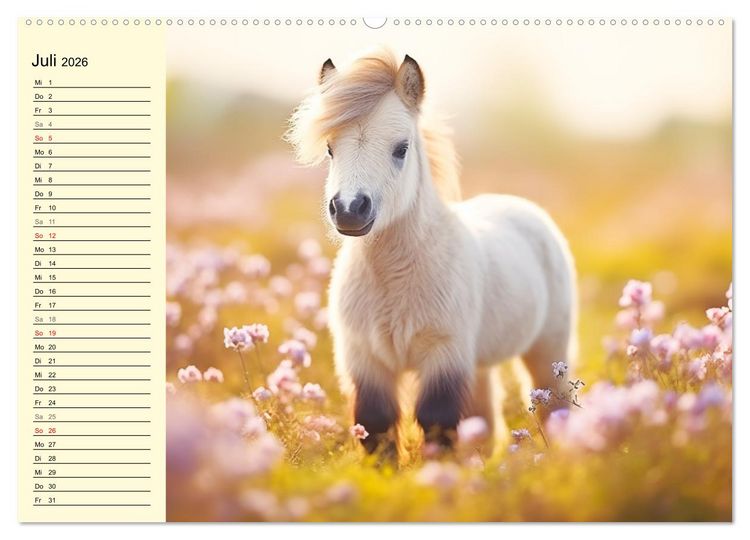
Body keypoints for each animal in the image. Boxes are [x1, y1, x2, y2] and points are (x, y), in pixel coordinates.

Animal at [286, 48, 577, 456]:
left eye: (401, 148)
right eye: (330, 148)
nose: (349, 209)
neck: (393, 279)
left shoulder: (443, 357)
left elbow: (437, 425)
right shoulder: (366, 360)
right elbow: (376, 426)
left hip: (547, 351)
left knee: (553, 404)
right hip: (479, 364)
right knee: (485, 423)